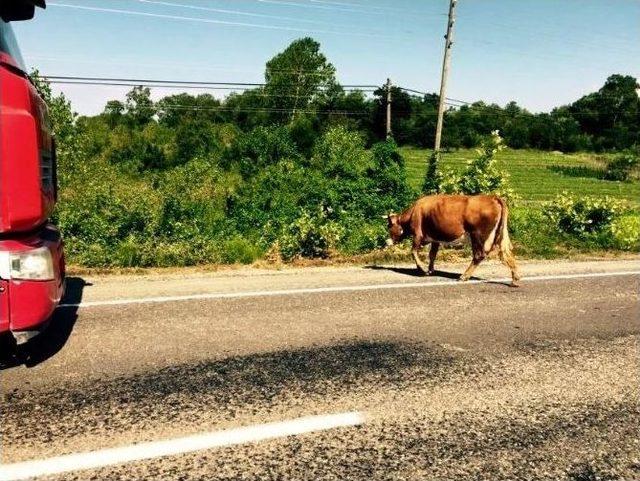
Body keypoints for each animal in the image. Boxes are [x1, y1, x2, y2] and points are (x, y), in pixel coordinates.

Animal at [384, 193, 520, 284]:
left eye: (389, 226)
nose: (387, 241)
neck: (414, 211)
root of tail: (492, 197)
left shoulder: (418, 234)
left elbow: (413, 251)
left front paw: (422, 268)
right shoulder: (435, 238)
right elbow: (432, 255)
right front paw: (430, 270)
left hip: (478, 235)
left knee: (479, 255)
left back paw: (464, 276)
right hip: (498, 235)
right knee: (506, 252)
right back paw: (515, 278)